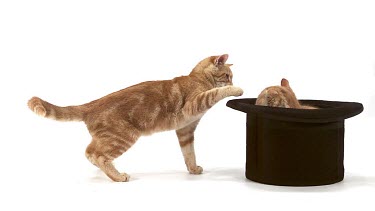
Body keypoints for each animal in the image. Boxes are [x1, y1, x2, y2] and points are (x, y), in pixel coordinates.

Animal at [26, 54, 244, 181]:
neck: (198, 78)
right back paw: (117, 176)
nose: (233, 81)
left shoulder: (185, 130)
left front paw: (193, 169)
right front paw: (235, 89)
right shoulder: (193, 105)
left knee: (89, 152)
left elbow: (189, 153)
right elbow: (216, 93)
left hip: (108, 138)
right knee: (98, 155)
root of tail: (92, 104)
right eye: (227, 76)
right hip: (123, 137)